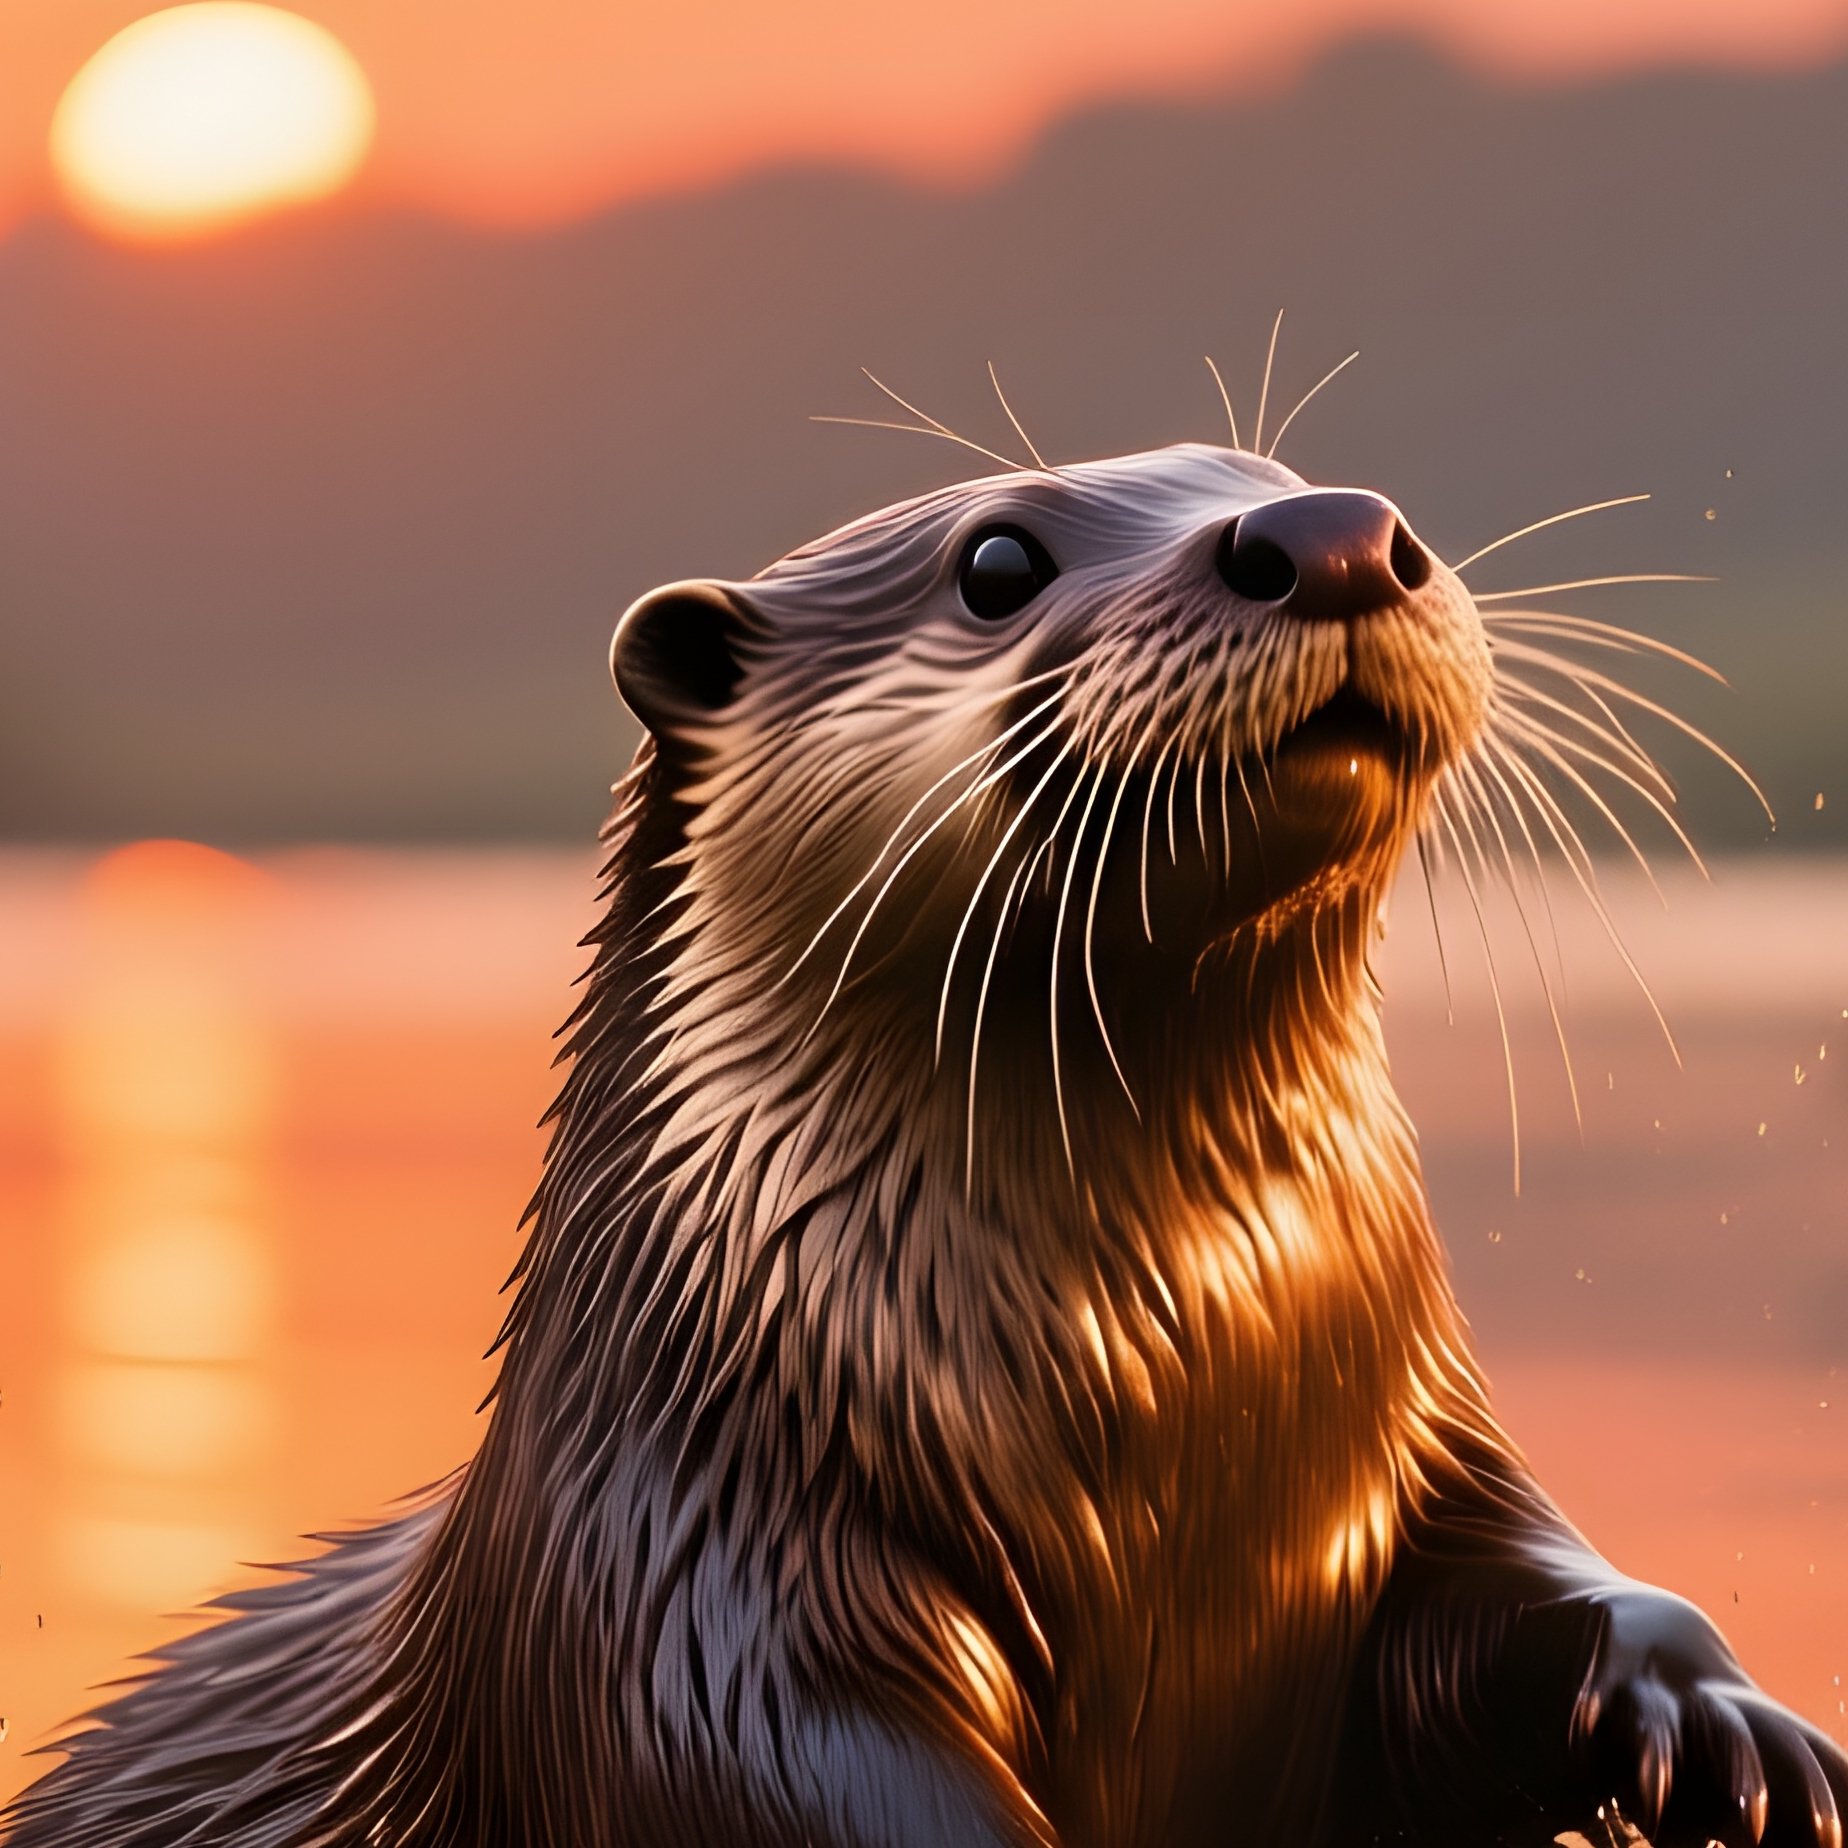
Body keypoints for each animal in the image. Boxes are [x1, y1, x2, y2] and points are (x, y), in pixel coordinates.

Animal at [7, 439, 1844, 1848]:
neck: (1164, 1421)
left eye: (1285, 477)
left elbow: (1532, 1593)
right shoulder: (695, 1619)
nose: (1328, 532)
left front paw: (1716, 1713)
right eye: (997, 560)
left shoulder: (1420, 1469)